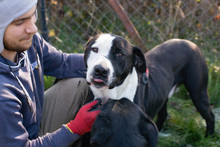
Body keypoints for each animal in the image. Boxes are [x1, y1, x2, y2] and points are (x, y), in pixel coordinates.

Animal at [84, 33, 215, 139]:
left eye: (120, 54)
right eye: (94, 49)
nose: (100, 70)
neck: (110, 93)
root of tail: (190, 43)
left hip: (198, 94)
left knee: (210, 116)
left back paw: (209, 138)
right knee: (163, 114)